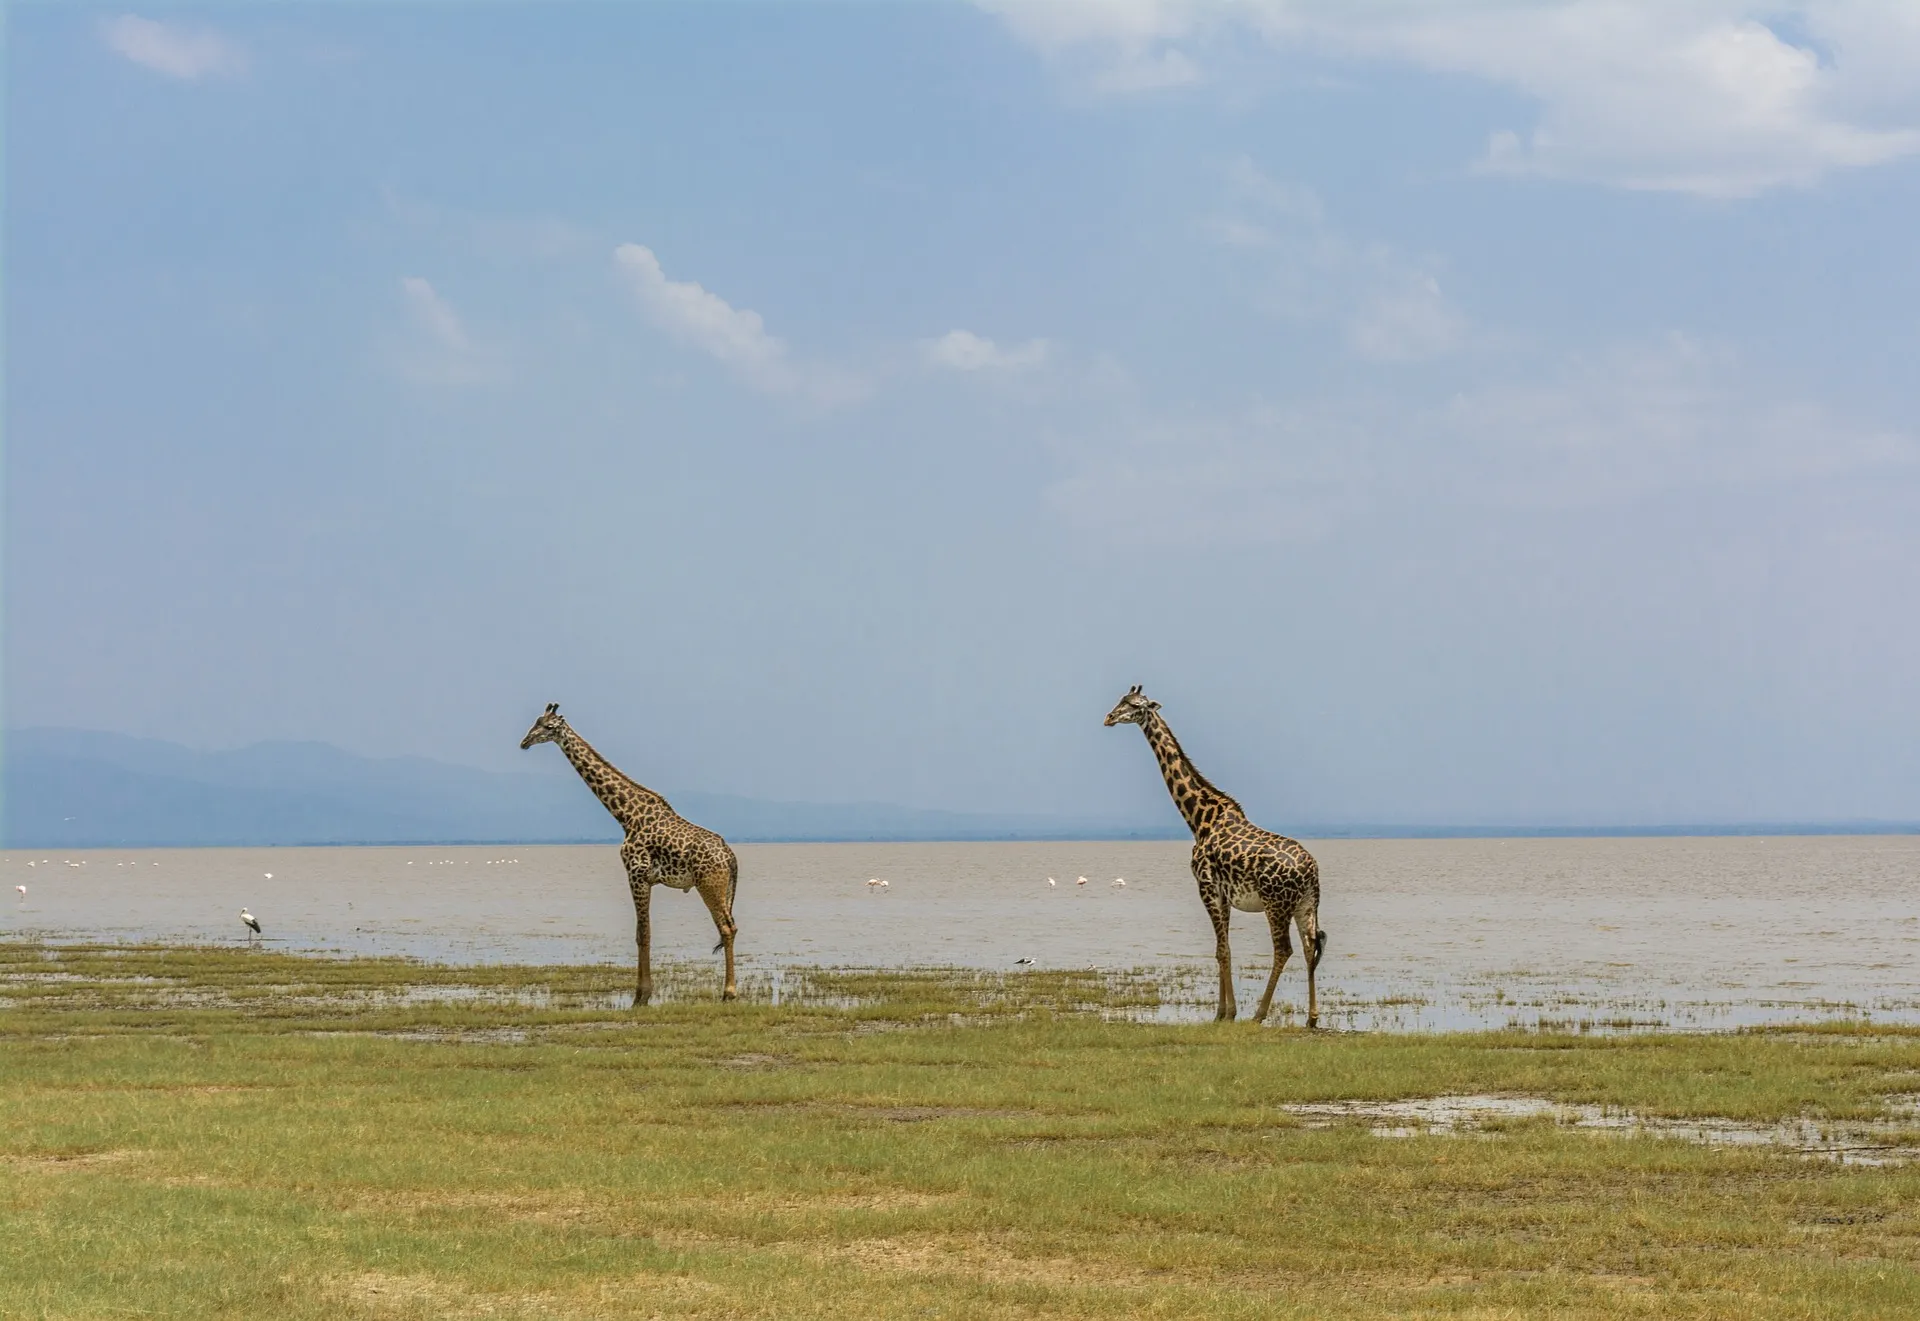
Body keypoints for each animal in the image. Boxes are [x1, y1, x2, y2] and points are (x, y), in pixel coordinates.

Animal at [522, 706, 737, 1006]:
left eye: (548, 726)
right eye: (536, 722)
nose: (525, 742)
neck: (626, 816)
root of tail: (730, 856)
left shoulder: (636, 875)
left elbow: (643, 934)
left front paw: (641, 996)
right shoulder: (644, 879)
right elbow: (640, 933)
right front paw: (641, 993)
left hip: (709, 885)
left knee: (726, 928)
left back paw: (729, 992)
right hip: (723, 887)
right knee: (732, 927)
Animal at [1105, 687, 1328, 1029]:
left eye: (1134, 705)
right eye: (1120, 700)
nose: (1109, 717)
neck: (1199, 820)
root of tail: (1311, 870)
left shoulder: (1206, 887)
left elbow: (1221, 950)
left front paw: (1226, 1013)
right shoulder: (1224, 895)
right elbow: (1225, 950)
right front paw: (1224, 1011)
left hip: (1276, 904)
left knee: (1283, 949)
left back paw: (1259, 1014)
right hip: (1306, 904)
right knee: (1308, 947)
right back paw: (1312, 1018)